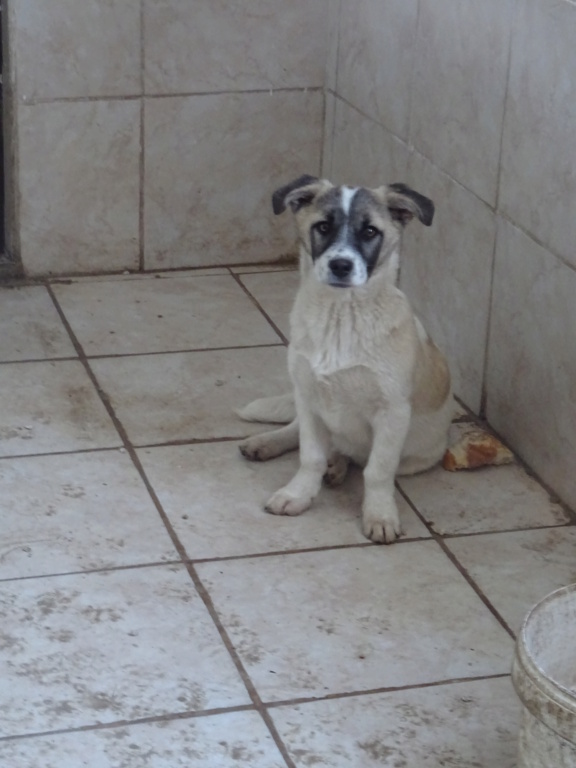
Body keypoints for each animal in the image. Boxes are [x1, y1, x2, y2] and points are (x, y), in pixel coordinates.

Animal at [236, 176, 452, 544]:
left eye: (370, 231)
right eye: (323, 226)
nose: (341, 265)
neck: (341, 316)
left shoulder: (392, 412)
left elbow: (377, 471)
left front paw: (379, 516)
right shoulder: (308, 395)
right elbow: (309, 455)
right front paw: (297, 494)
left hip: (419, 456)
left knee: (354, 456)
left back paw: (337, 464)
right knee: (298, 432)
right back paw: (266, 443)